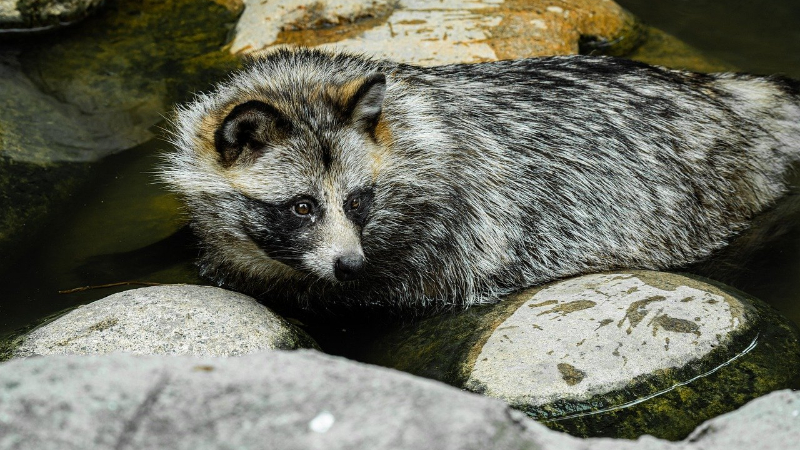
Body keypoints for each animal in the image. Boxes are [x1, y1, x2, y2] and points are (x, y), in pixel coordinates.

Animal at [161, 47, 800, 312]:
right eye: (300, 206)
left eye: (359, 200)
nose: (350, 265)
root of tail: (722, 93)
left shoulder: (438, 243)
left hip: (707, 194)